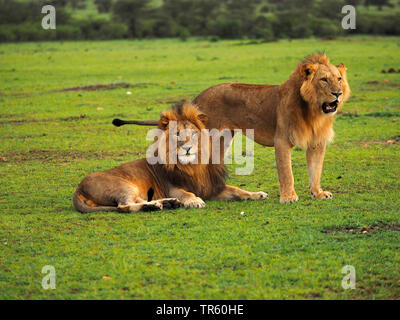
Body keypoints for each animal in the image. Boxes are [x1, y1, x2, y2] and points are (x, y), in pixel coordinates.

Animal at [75, 102, 268, 212]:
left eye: (193, 133)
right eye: (177, 134)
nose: (188, 148)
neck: (193, 167)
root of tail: (78, 188)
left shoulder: (212, 188)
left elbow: (238, 191)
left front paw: (258, 194)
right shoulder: (172, 187)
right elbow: (186, 193)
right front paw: (194, 201)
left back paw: (167, 204)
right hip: (123, 186)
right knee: (124, 206)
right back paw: (154, 206)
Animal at [115, 52, 350, 202]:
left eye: (339, 79)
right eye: (324, 80)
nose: (337, 94)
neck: (314, 112)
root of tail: (198, 100)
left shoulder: (317, 143)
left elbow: (315, 170)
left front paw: (318, 193)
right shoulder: (282, 140)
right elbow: (286, 172)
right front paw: (289, 197)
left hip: (222, 141)